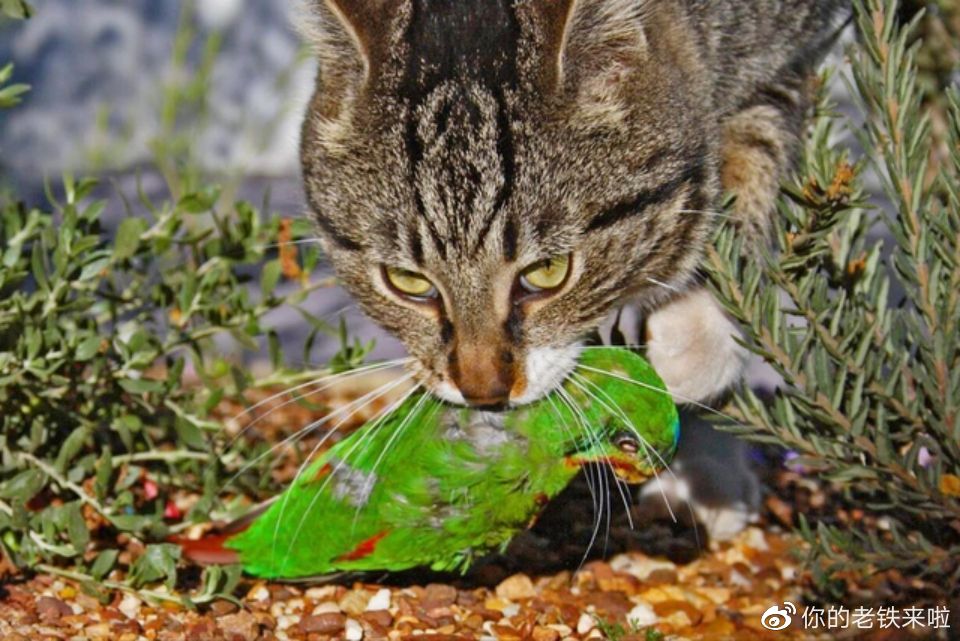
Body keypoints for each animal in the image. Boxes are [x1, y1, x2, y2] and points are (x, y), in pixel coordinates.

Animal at [296, 0, 844, 540]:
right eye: (408, 282)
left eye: (547, 271)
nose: (484, 394)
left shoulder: (791, 50)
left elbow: (745, 182)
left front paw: (689, 347)